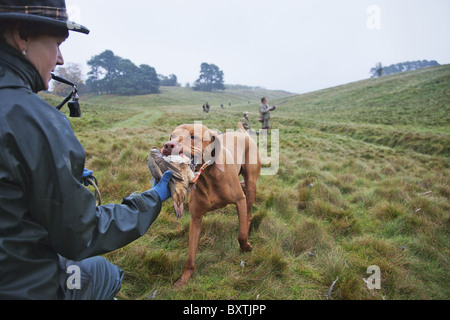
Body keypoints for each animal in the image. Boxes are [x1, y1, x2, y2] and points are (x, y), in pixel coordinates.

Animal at [161, 123, 260, 288]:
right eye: (171, 136)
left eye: (193, 136)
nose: (168, 145)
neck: (206, 176)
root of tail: (243, 133)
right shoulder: (195, 218)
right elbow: (191, 254)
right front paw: (185, 277)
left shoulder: (240, 200)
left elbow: (241, 235)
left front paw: (246, 247)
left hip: (252, 184)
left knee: (248, 212)